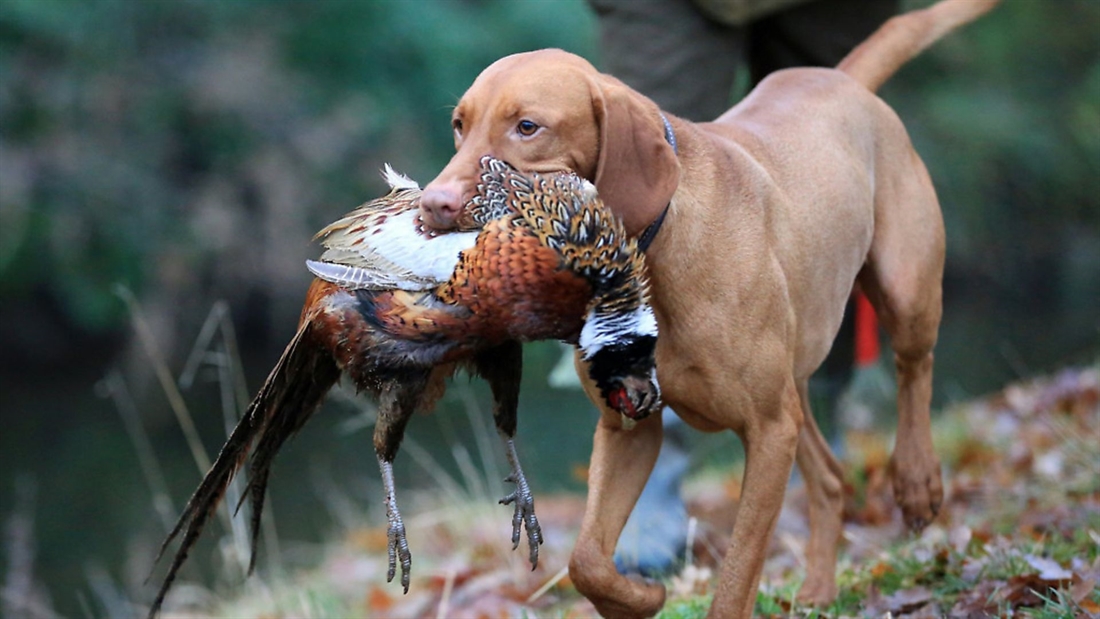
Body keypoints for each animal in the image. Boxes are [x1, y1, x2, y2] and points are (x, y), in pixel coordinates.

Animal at [415, 0, 1003, 615]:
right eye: (459, 125)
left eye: (527, 127)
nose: (433, 204)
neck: (648, 265)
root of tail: (841, 78)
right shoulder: (629, 426)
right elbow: (587, 562)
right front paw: (642, 596)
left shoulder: (768, 433)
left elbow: (739, 568)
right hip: (793, 384)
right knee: (830, 477)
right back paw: (819, 588)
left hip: (903, 293)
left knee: (914, 369)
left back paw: (916, 480)